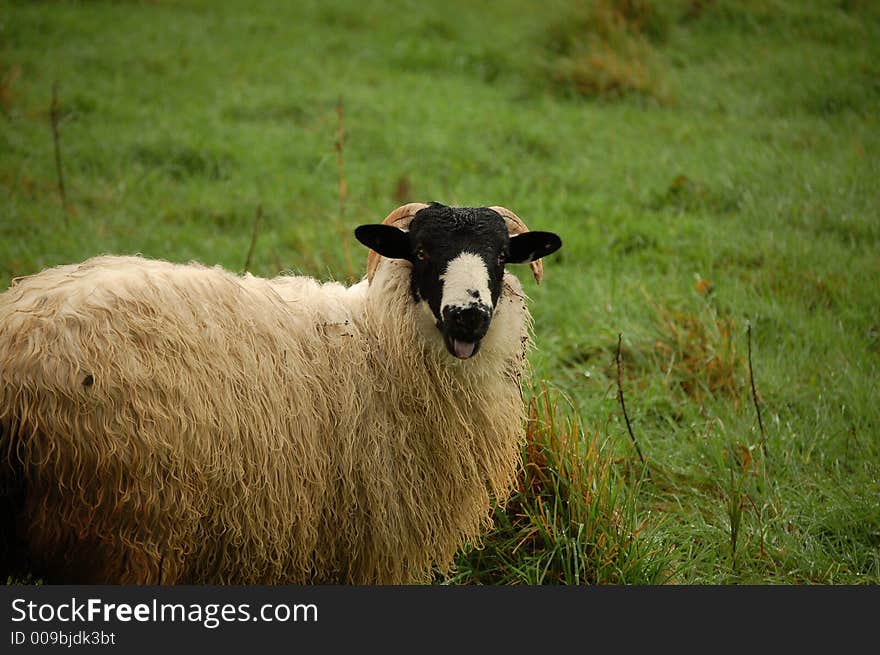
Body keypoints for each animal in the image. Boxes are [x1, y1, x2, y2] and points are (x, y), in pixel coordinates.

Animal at [0, 201, 560, 584]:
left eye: (502, 257)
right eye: (421, 251)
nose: (468, 315)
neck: (378, 342)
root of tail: (18, 337)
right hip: (118, 523)